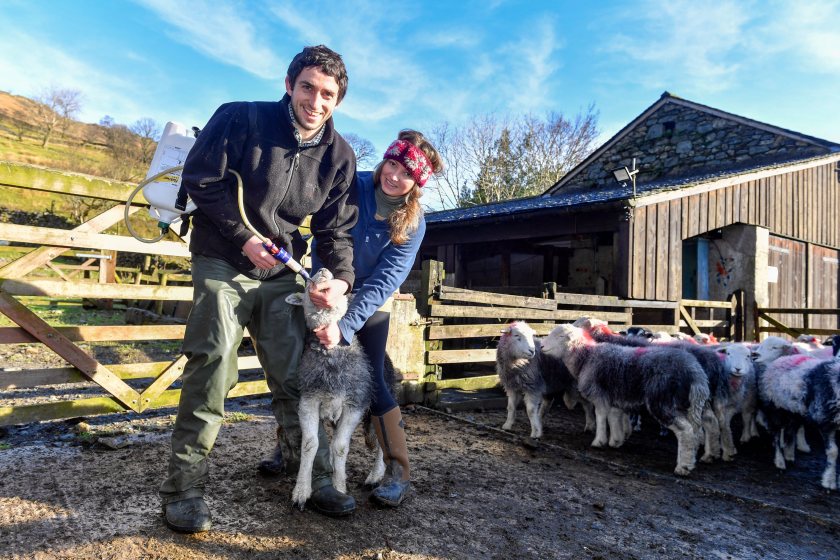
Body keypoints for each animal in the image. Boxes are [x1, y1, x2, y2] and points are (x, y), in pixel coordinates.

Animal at [284, 270, 372, 510]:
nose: (323, 270)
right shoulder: (308, 400)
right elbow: (310, 444)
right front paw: (301, 490)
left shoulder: (354, 405)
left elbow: (340, 447)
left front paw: (339, 487)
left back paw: (378, 477)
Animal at [540, 324, 708, 476]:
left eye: (561, 336)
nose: (541, 346)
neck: (587, 356)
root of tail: (694, 371)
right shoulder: (614, 397)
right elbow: (614, 418)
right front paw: (616, 440)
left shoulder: (599, 394)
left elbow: (601, 416)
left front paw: (599, 441)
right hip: (685, 404)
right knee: (696, 431)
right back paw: (692, 459)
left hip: (662, 402)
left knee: (685, 431)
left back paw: (683, 467)